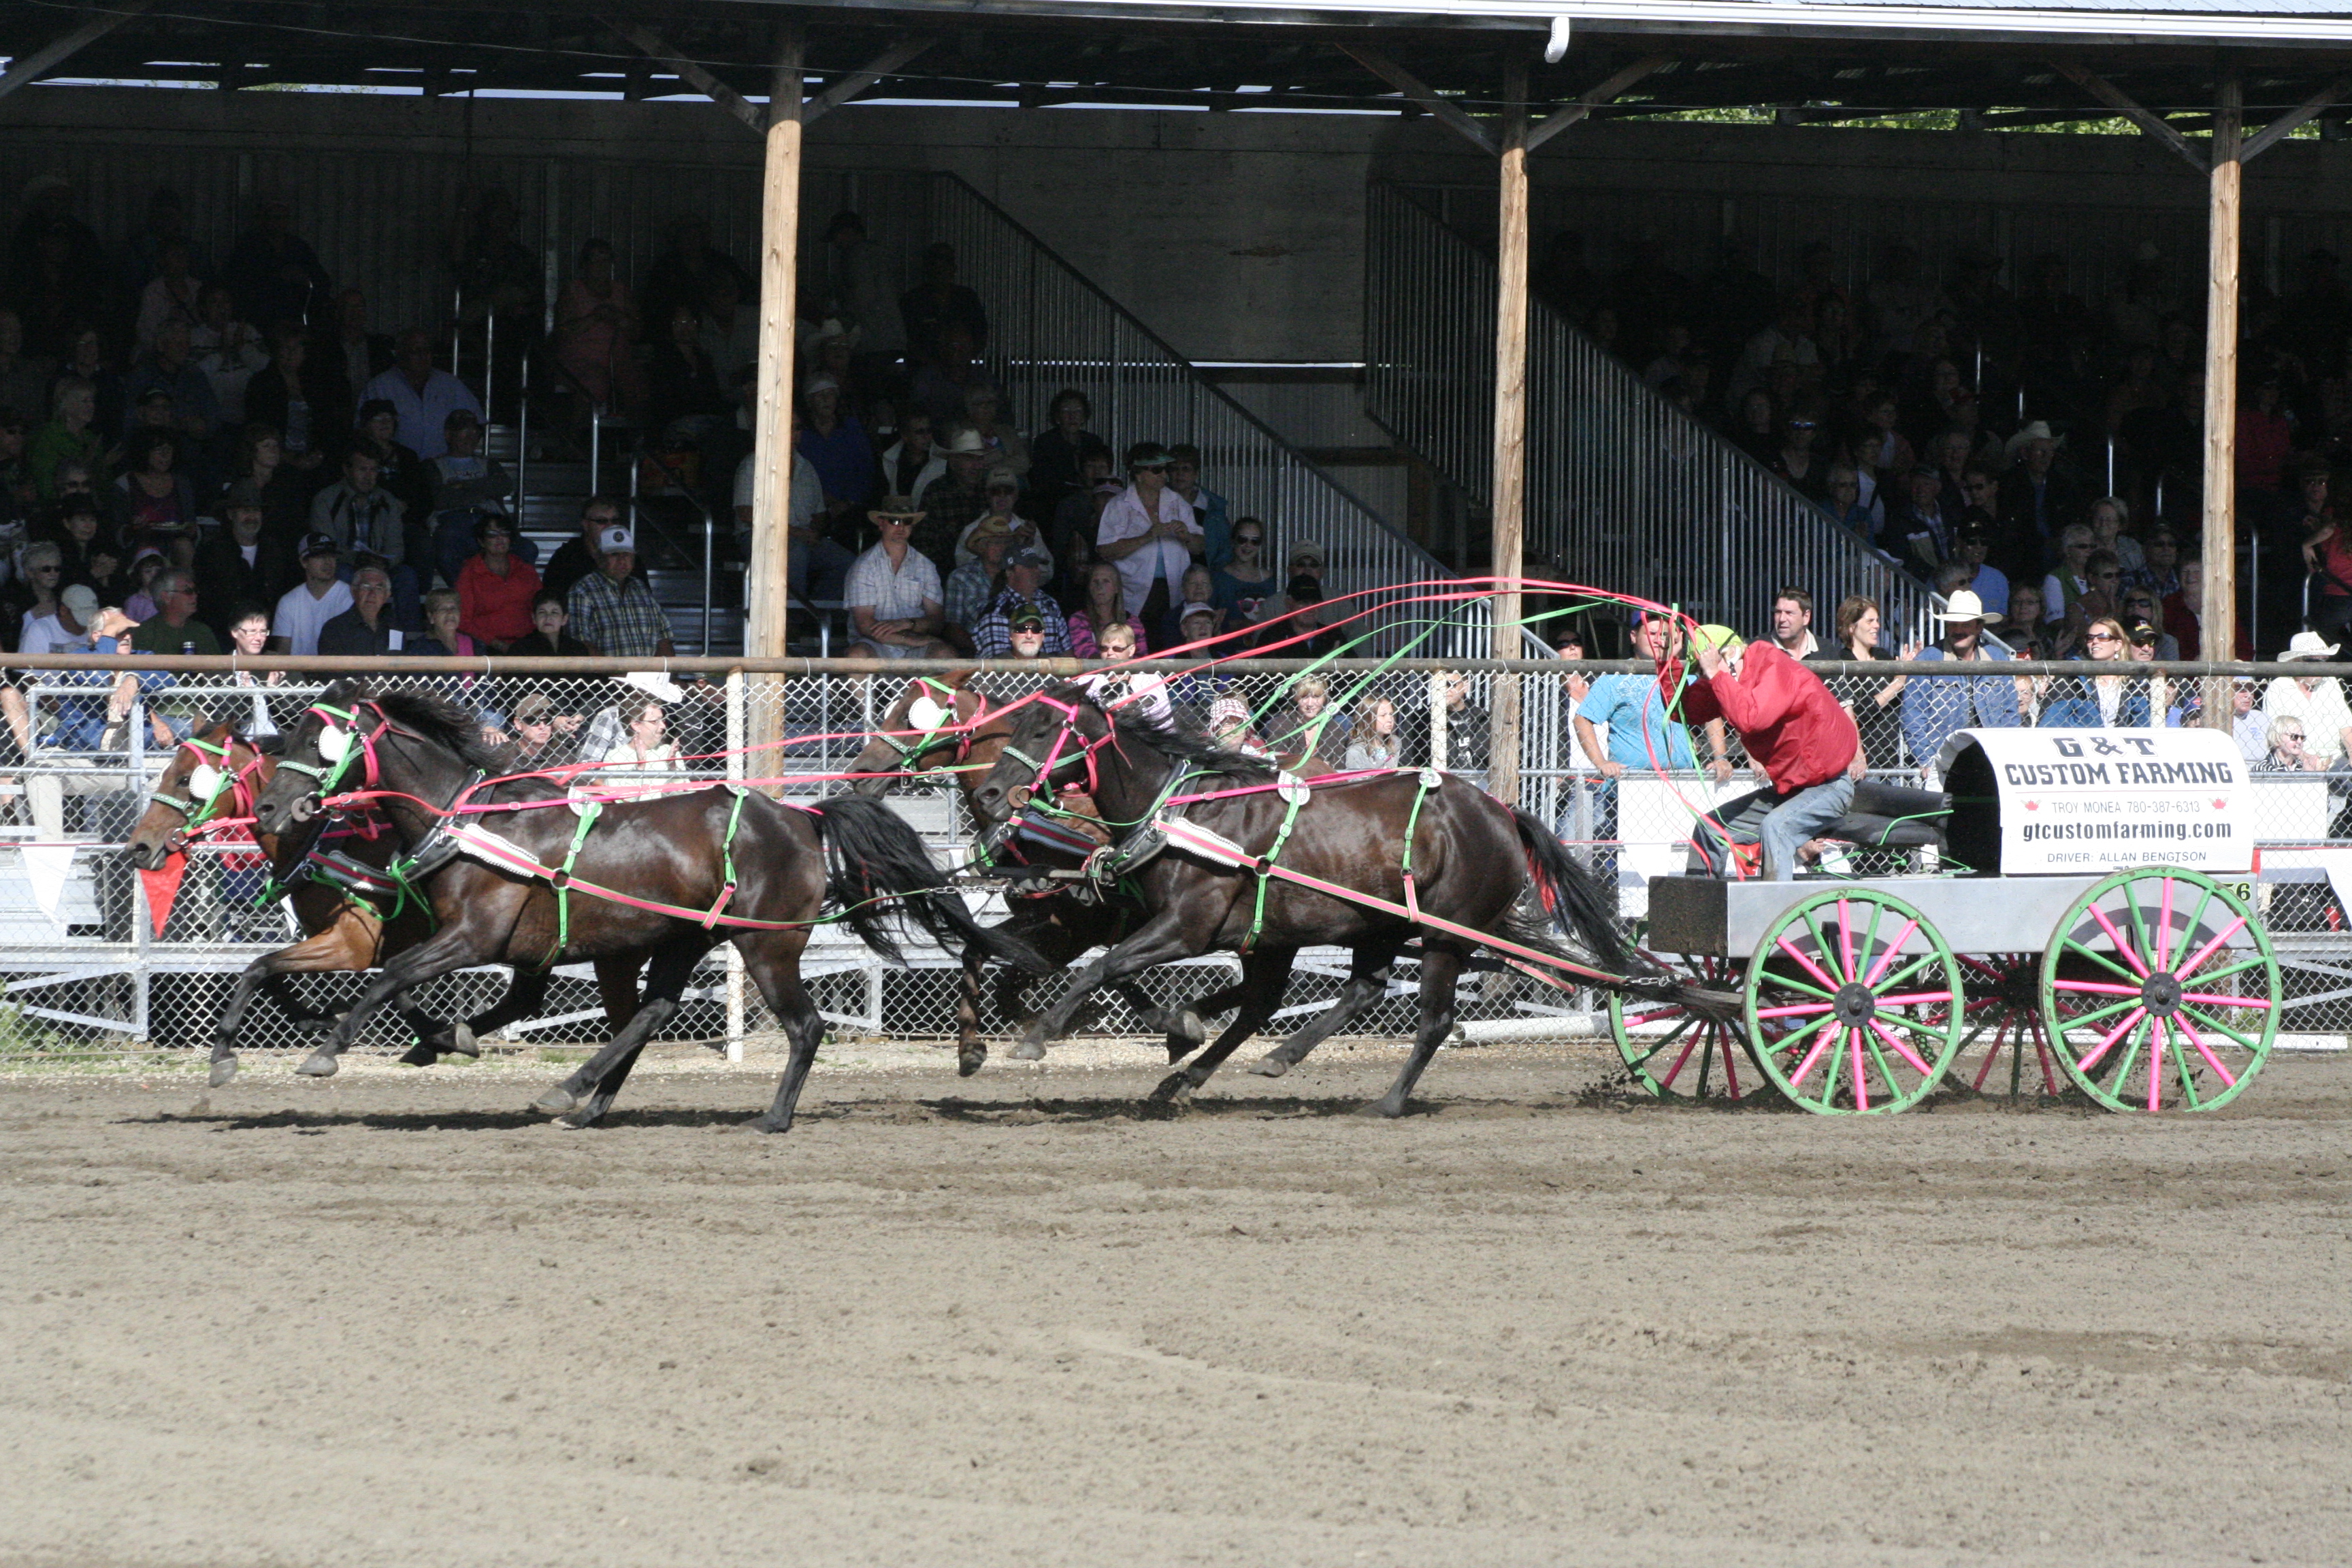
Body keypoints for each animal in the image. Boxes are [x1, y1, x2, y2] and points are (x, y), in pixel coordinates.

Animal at [126, 723, 640, 1071]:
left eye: (185, 778)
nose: (140, 846)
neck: (320, 840)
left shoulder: (351, 944)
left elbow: (259, 968)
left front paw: (224, 1051)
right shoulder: (373, 944)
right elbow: (286, 977)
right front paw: (326, 1018)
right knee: (526, 1001)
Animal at [251, 681, 1051, 1132]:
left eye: (322, 743)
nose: (268, 807)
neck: (472, 823)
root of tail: (806, 821)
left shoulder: (475, 936)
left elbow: (389, 978)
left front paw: (326, 1051)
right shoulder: (523, 953)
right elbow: (451, 999)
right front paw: (441, 1038)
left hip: (766, 945)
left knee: (804, 1025)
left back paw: (771, 1117)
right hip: (685, 937)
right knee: (652, 1012)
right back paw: (580, 1098)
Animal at [844, 671, 1213, 1075]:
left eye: (912, 716)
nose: (859, 774)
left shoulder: (1081, 927)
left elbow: (1111, 974)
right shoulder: (1048, 919)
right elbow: (980, 956)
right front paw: (971, 1045)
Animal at [968, 684, 1729, 1116]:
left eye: (1043, 730)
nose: (988, 793)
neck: (1185, 813)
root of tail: (1502, 812)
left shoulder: (1187, 926)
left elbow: (1107, 965)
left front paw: (1037, 1036)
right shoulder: (1256, 936)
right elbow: (1231, 1001)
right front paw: (1181, 1037)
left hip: (1446, 932)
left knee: (1432, 1017)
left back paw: (1387, 1100)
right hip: (1380, 924)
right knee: (1357, 991)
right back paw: (1271, 1058)